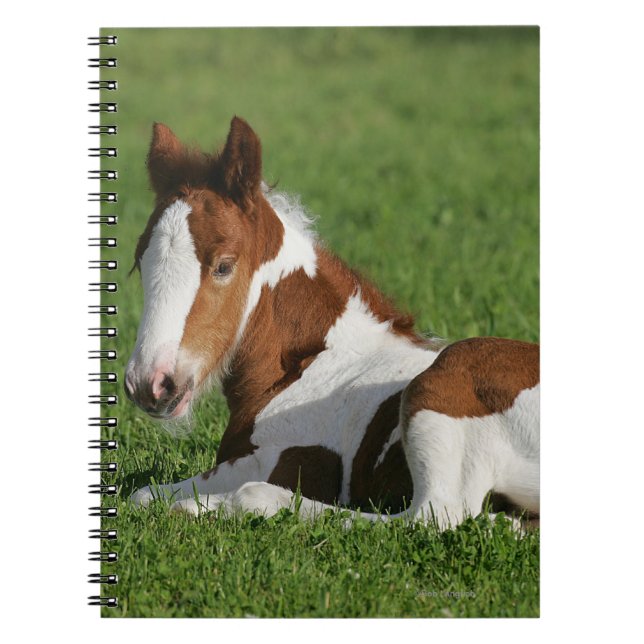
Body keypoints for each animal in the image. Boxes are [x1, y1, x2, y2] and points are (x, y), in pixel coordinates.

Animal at [125, 116, 540, 530]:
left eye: (224, 266)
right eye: (139, 262)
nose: (151, 384)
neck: (313, 363)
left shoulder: (283, 459)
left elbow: (151, 493)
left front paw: (202, 503)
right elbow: (144, 495)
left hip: (441, 388)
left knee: (431, 516)